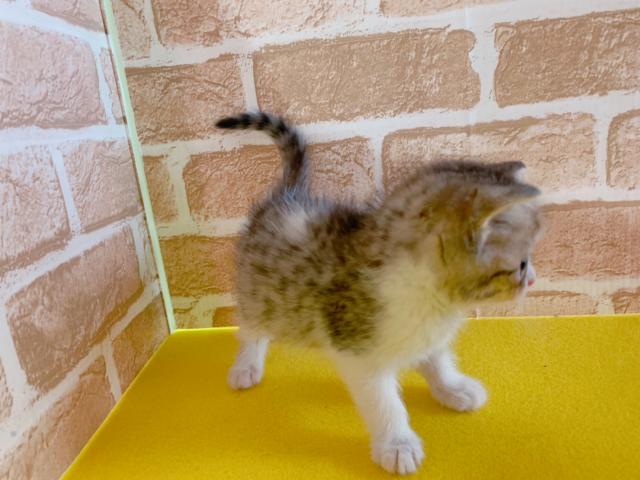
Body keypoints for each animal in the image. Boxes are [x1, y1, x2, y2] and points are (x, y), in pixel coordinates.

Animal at [216, 112, 542, 475]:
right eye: (521, 264)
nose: (533, 280)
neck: (434, 301)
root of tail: (286, 195)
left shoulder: (425, 330)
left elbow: (437, 358)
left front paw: (452, 387)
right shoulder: (356, 349)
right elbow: (383, 402)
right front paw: (397, 444)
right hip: (261, 292)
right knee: (251, 325)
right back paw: (246, 365)